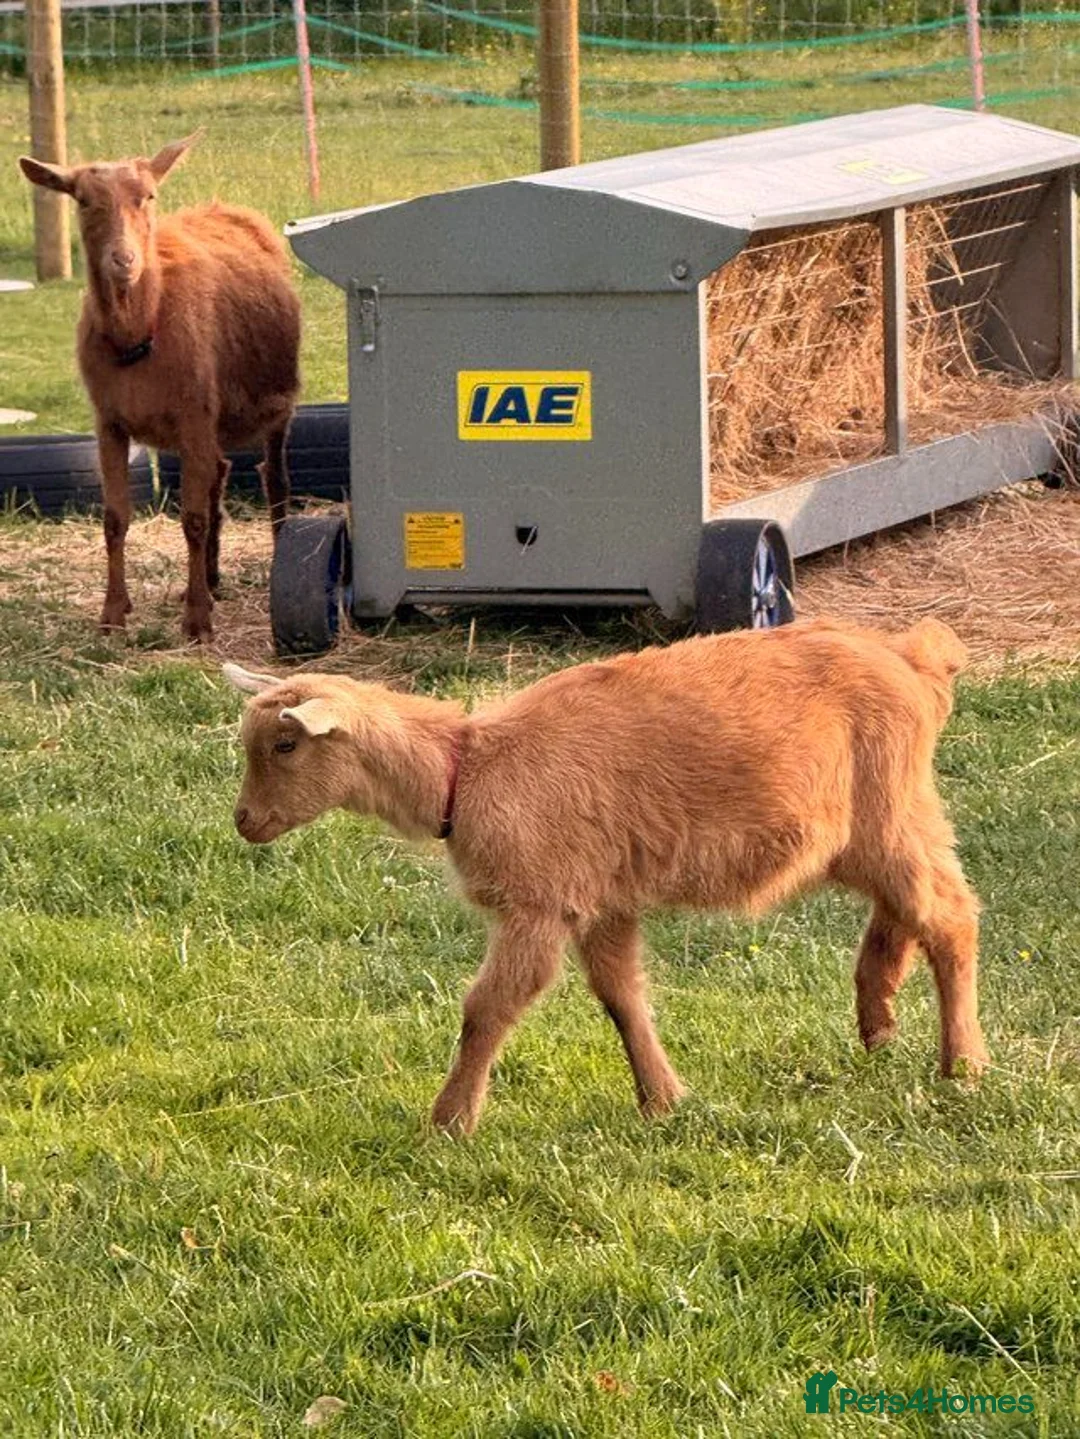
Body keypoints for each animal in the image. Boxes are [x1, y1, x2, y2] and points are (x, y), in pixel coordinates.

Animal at [19, 134, 301, 640]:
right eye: (83, 201)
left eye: (148, 196)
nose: (124, 260)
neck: (140, 334)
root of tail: (225, 207)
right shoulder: (109, 422)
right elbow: (115, 520)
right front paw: (113, 613)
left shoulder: (193, 414)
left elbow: (192, 519)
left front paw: (198, 622)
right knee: (219, 476)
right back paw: (208, 580)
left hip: (273, 409)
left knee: (274, 481)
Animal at [224, 616, 987, 1135]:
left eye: (285, 744)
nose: (245, 821)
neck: (468, 769)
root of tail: (914, 659)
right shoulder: (602, 902)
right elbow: (622, 997)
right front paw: (662, 1099)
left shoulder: (540, 902)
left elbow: (487, 1010)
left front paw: (449, 1121)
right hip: (880, 821)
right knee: (910, 905)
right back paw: (878, 1020)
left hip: (887, 809)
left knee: (949, 917)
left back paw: (962, 1064)